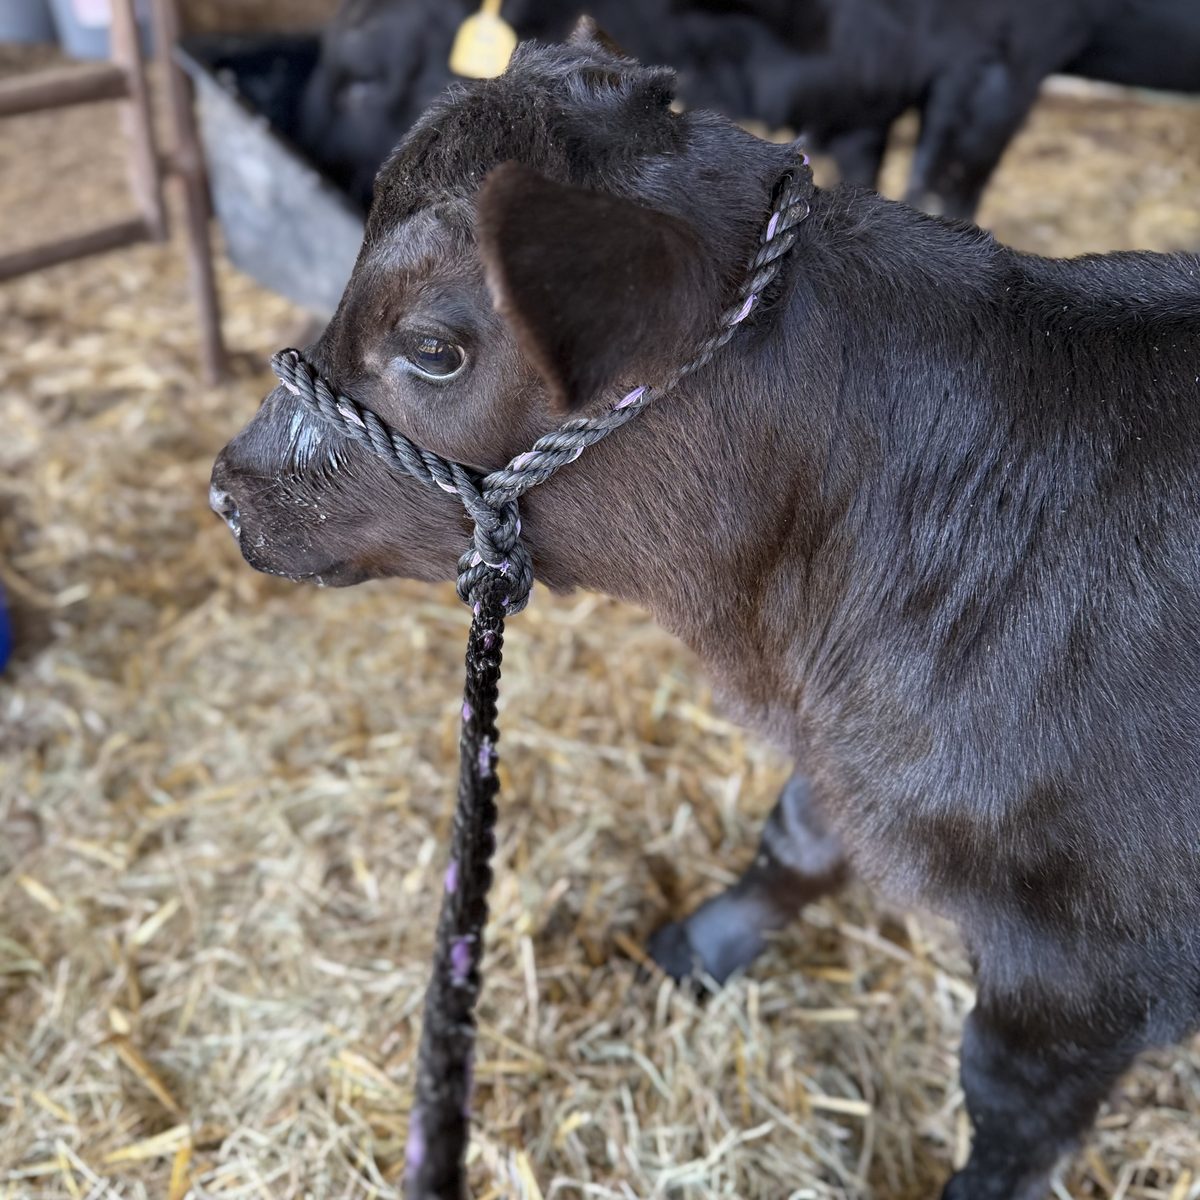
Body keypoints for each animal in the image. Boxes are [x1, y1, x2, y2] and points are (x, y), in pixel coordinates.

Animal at [213, 28, 1200, 1199]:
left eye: (435, 347)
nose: (229, 488)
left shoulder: (1089, 965)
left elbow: (1010, 1105)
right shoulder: (843, 750)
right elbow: (799, 837)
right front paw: (703, 945)